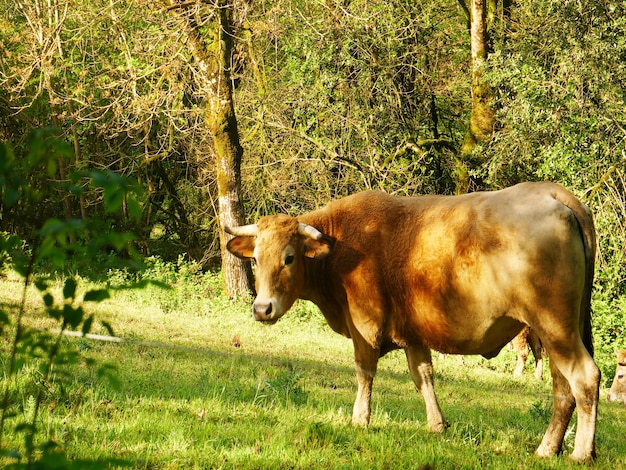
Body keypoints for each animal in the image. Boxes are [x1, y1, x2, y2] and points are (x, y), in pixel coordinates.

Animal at [227, 182, 596, 460]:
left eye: (289, 258)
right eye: (256, 258)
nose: (262, 308)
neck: (340, 245)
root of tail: (553, 193)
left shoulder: (365, 324)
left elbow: (365, 372)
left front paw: (360, 419)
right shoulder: (413, 332)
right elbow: (423, 376)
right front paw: (437, 424)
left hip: (554, 325)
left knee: (585, 377)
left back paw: (579, 453)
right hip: (563, 329)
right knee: (563, 386)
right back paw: (551, 448)